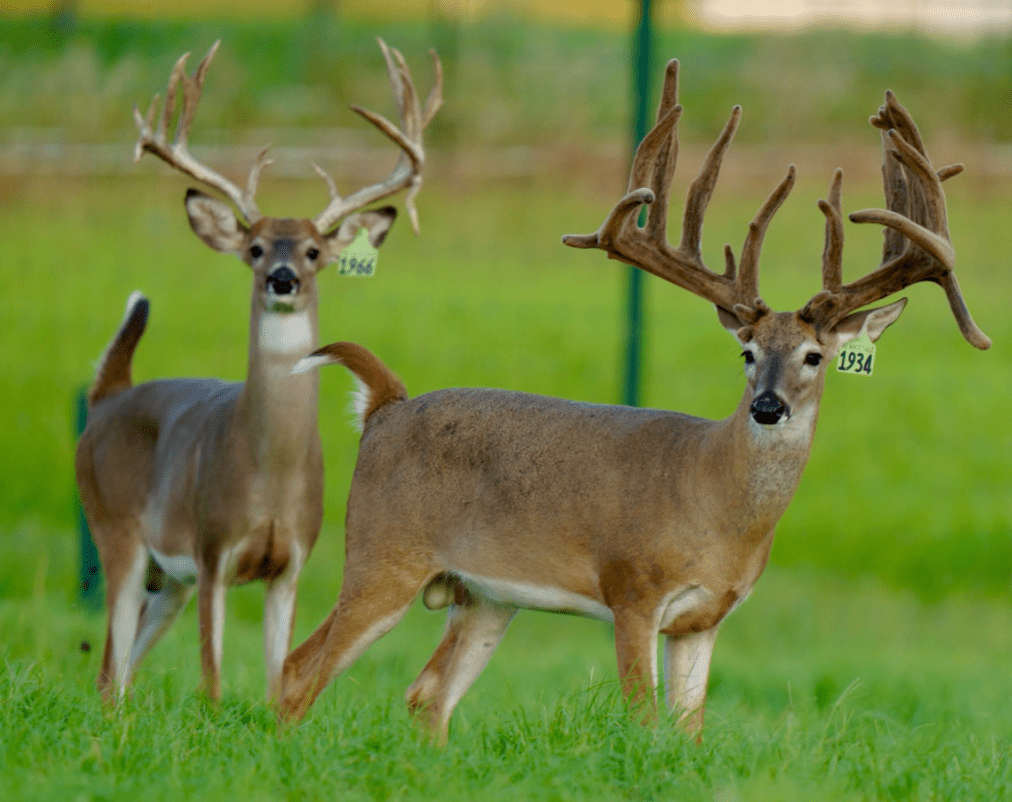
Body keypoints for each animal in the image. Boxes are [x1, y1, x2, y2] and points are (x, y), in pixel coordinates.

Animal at [74, 39, 442, 703]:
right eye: (255, 248)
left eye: (314, 250)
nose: (283, 277)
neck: (270, 473)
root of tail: (107, 396)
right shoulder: (212, 549)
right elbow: (213, 678)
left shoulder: (291, 560)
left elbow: (277, 678)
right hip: (117, 530)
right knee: (110, 669)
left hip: (167, 580)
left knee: (120, 668)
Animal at [275, 60, 989, 742]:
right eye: (747, 352)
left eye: (815, 356)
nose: (767, 407)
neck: (716, 501)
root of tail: (384, 407)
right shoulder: (633, 590)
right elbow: (644, 720)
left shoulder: (705, 618)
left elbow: (689, 731)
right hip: (383, 552)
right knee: (300, 669)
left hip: (483, 596)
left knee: (426, 696)